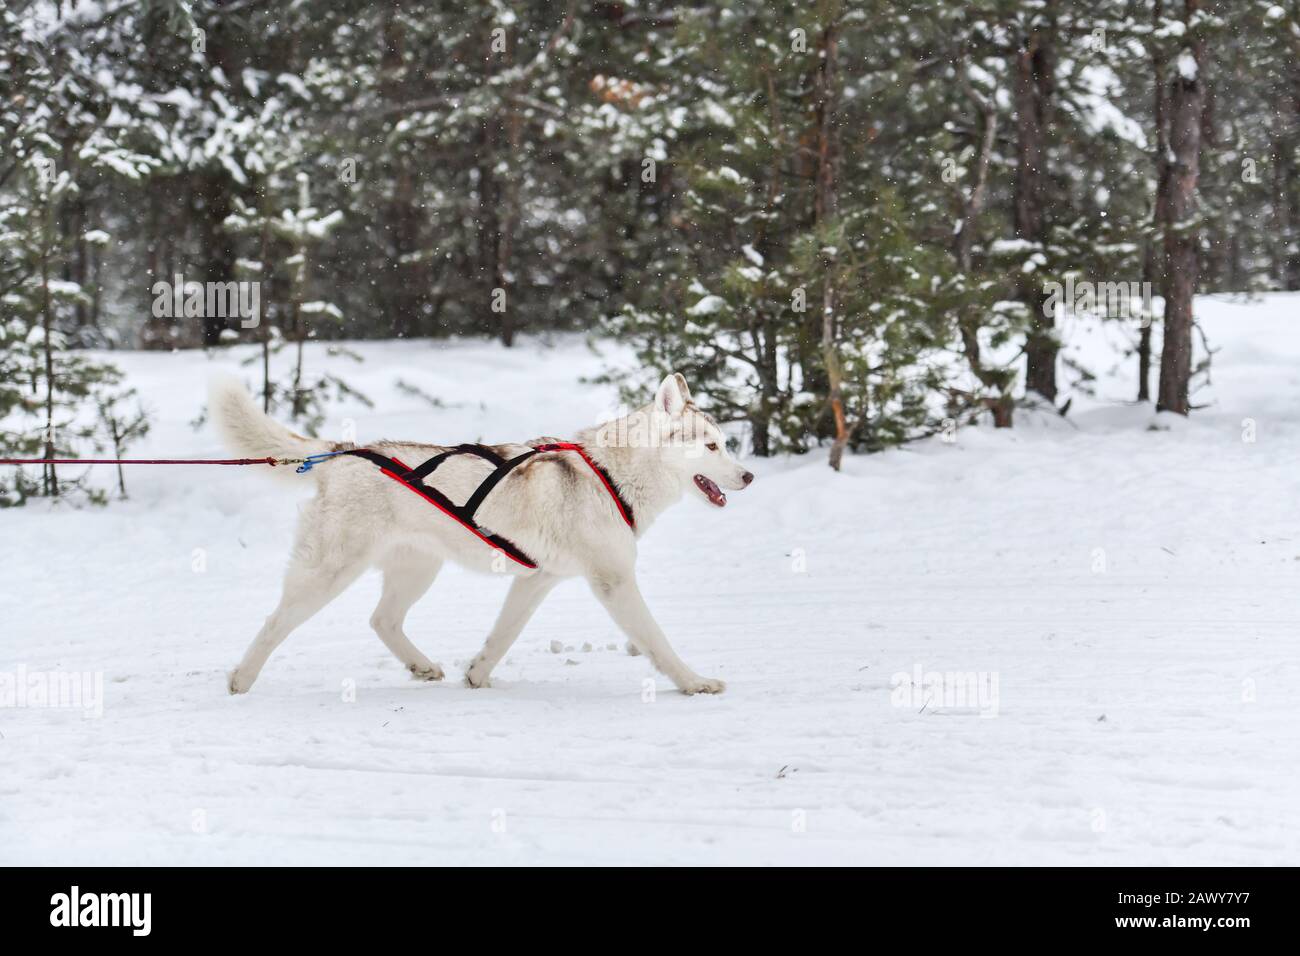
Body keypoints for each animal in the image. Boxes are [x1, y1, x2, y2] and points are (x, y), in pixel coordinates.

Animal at [211, 374, 754, 697]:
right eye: (711, 446)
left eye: (726, 444)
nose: (749, 476)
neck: (611, 474)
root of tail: (343, 452)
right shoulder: (613, 581)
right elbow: (658, 641)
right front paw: (694, 682)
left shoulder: (536, 580)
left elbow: (502, 635)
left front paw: (477, 674)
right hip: (329, 572)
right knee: (275, 621)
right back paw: (242, 678)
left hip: (417, 570)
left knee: (382, 620)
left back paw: (422, 667)